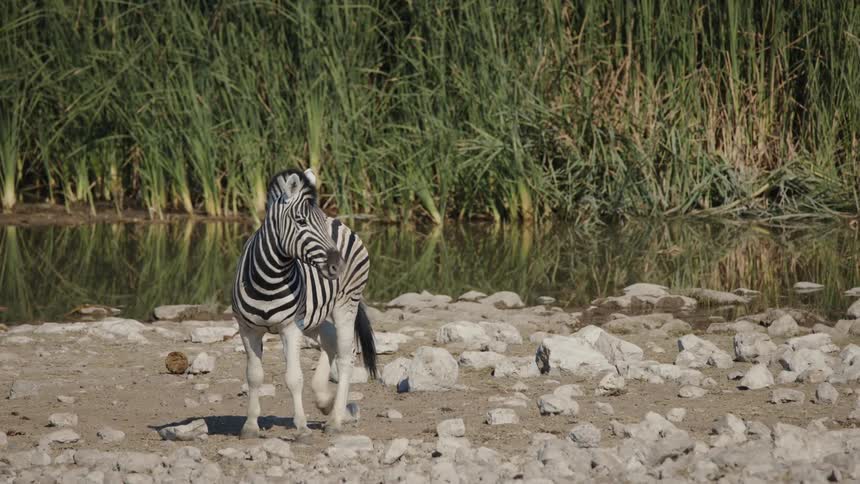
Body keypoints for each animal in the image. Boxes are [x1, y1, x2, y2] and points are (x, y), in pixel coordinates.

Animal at [231, 167, 376, 438]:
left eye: (318, 221)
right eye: (300, 222)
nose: (338, 266)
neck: (267, 279)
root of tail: (337, 220)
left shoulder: (290, 328)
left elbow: (293, 378)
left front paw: (301, 427)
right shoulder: (247, 329)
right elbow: (254, 376)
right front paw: (250, 425)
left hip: (345, 303)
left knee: (346, 355)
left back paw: (335, 419)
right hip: (312, 316)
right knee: (330, 340)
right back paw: (326, 402)